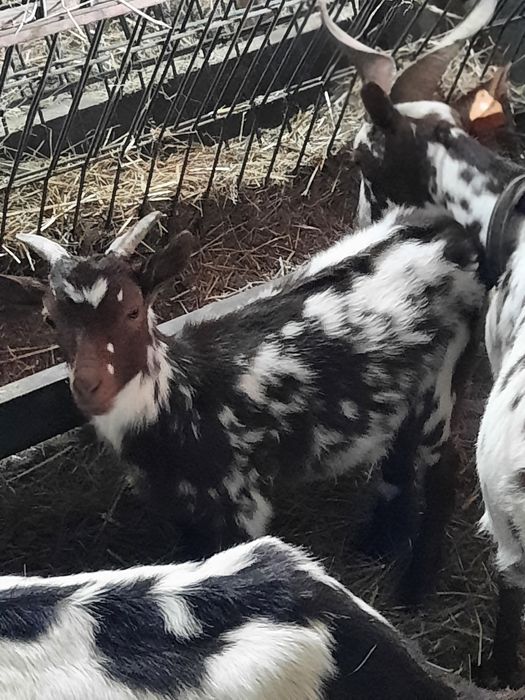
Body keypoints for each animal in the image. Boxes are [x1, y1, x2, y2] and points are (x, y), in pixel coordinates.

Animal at [2, 205, 484, 603]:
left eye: (134, 311)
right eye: (50, 319)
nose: (89, 386)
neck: (181, 398)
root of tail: (453, 233)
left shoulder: (240, 501)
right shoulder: (182, 507)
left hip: (443, 381)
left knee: (445, 468)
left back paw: (415, 586)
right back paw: (379, 543)